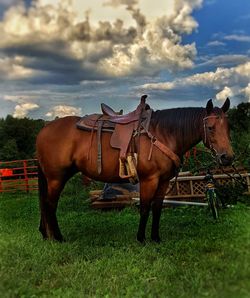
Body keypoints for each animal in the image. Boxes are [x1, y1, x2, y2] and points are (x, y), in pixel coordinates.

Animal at [36, 97, 234, 242]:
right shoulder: (149, 179)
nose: (227, 157)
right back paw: (59, 238)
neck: (163, 134)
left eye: (228, 127)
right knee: (50, 204)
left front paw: (155, 238)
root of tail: (43, 130)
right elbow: (145, 208)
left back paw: (47, 235)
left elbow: (157, 208)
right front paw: (141, 239)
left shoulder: (163, 181)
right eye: (210, 127)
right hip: (56, 178)